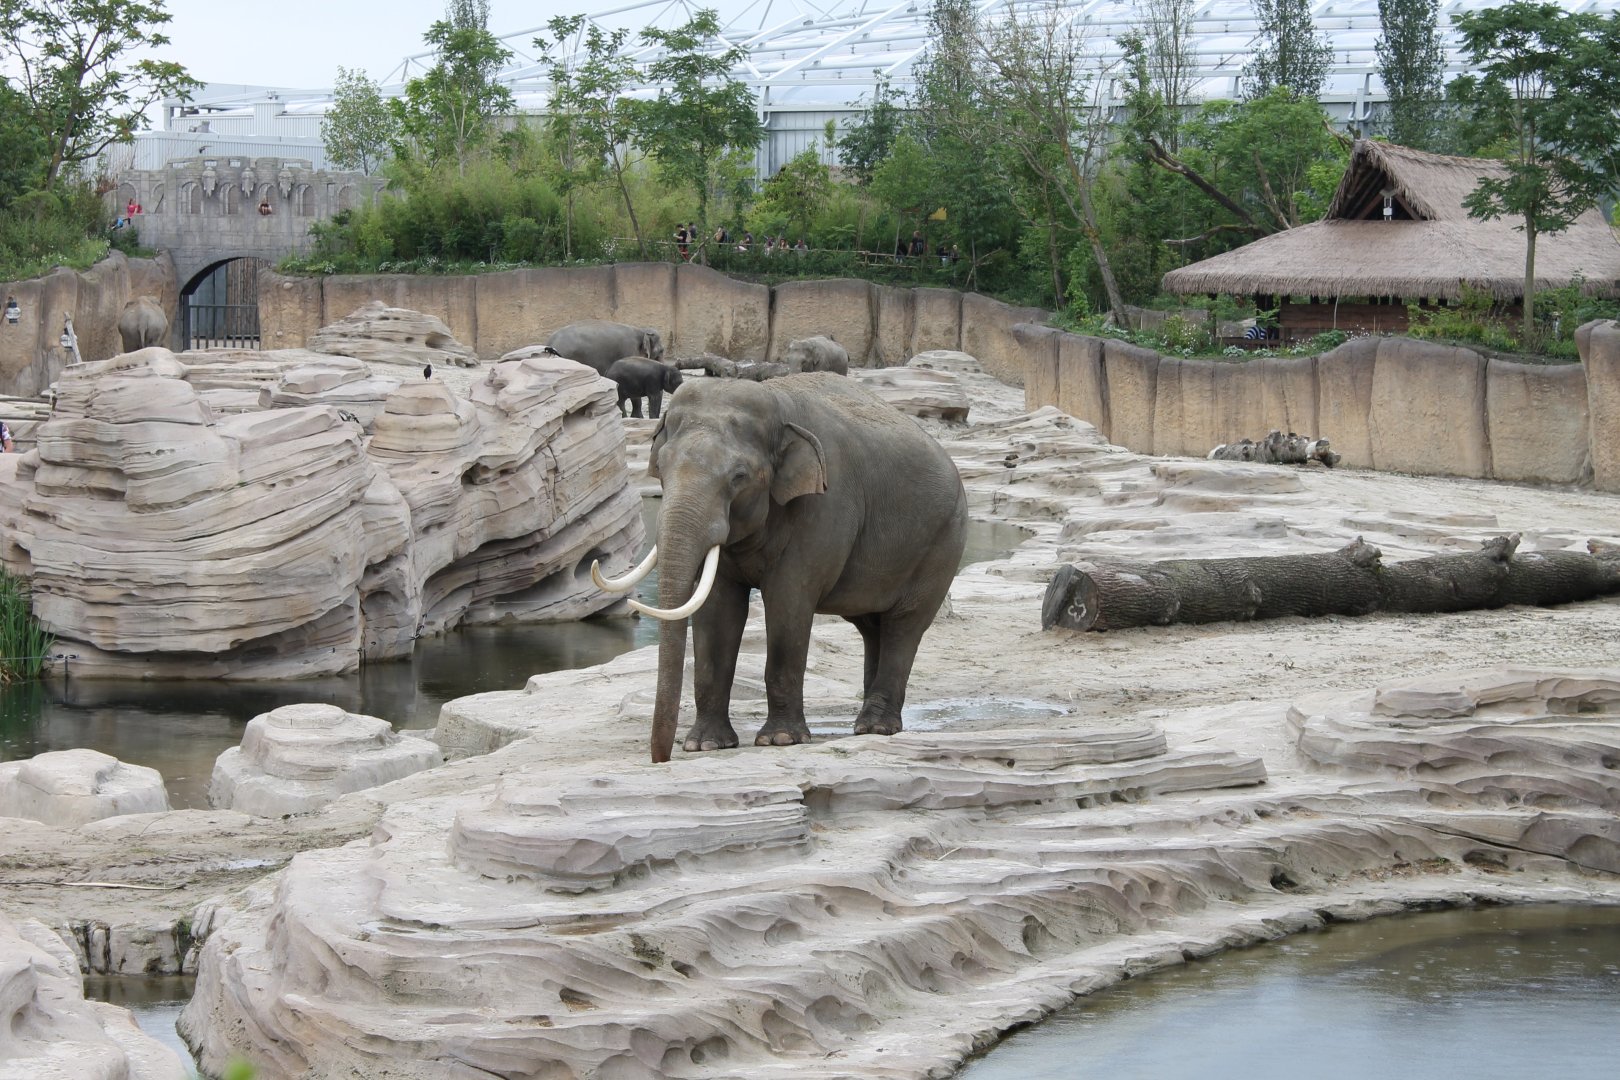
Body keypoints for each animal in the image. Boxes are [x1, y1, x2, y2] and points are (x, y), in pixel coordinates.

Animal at [591, 373, 968, 762]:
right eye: (661, 469)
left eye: (739, 476)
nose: (661, 758)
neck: (776, 400)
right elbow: (717, 610)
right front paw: (705, 744)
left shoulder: (825, 506)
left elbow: (788, 603)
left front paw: (781, 740)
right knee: (871, 626)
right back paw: (866, 723)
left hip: (942, 543)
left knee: (904, 625)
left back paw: (875, 727)